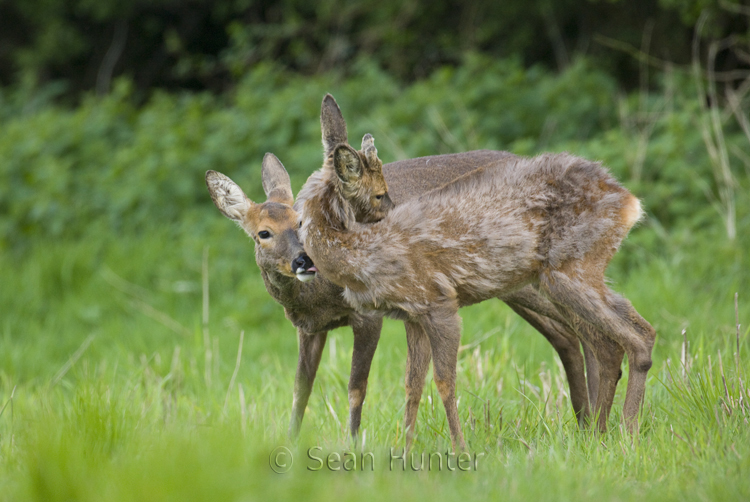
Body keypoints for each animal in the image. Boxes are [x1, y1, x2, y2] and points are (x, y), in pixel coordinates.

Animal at [296, 96, 656, 450]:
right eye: (379, 194)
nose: (298, 258)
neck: (359, 257)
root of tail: (629, 202)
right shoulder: (412, 315)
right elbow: (412, 385)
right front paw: (406, 451)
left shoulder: (439, 301)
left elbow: (444, 381)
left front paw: (460, 449)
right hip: (570, 275)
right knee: (620, 338)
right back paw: (600, 434)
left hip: (568, 270)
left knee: (631, 338)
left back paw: (626, 434)